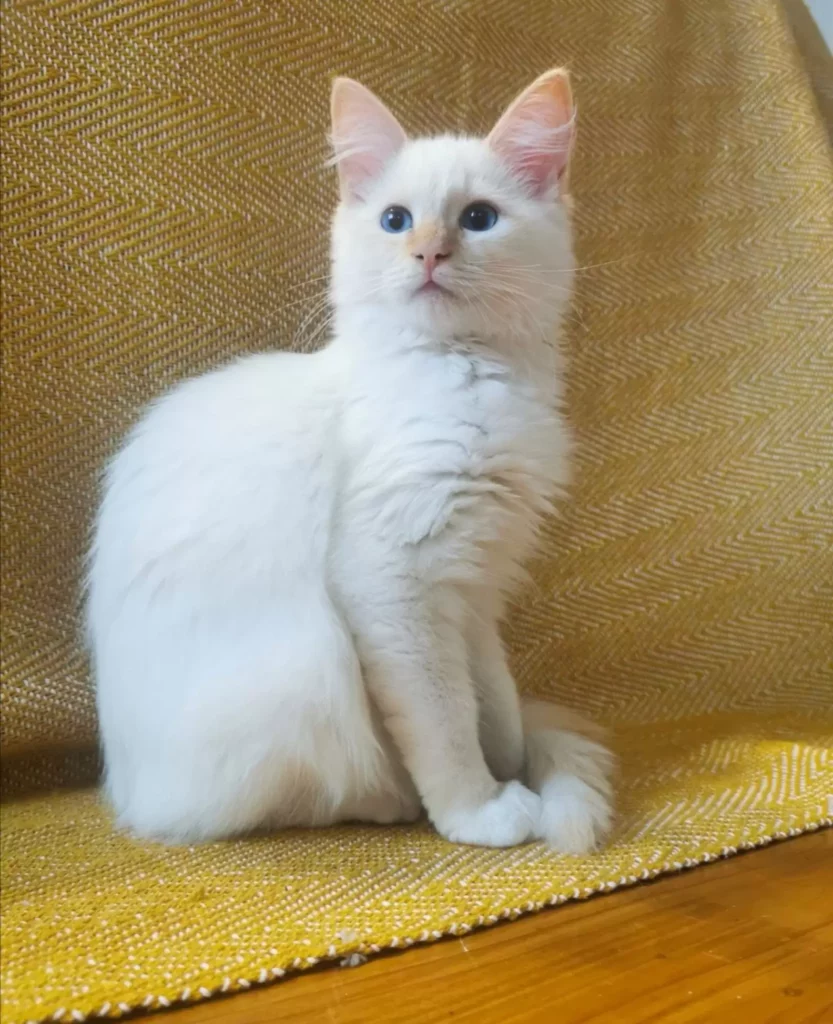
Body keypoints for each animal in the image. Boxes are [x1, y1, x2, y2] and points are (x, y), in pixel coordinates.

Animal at [87, 72, 610, 851]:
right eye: (396, 221)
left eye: (478, 218)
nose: (428, 254)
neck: (463, 372)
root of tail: (122, 789)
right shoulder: (394, 582)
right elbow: (445, 721)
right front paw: (480, 810)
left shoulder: (474, 588)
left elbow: (495, 701)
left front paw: (513, 770)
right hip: (303, 670)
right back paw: (391, 801)